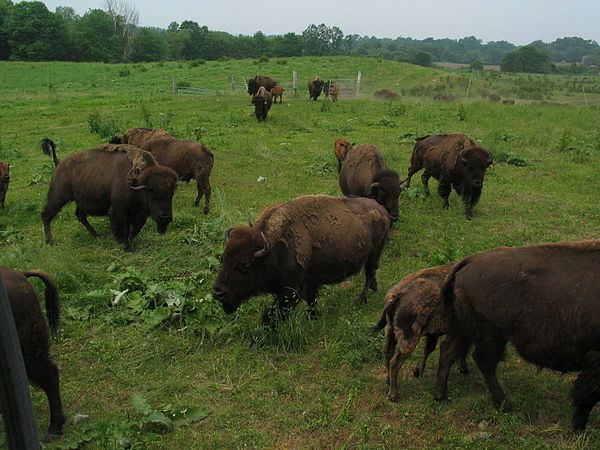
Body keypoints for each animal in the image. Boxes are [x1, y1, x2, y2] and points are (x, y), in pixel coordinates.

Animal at [41, 143, 178, 251]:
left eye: (171, 193)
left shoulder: (140, 214)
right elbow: (123, 228)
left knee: (80, 216)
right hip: (58, 197)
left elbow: (137, 227)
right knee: (46, 215)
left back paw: (97, 235)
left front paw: (129, 240)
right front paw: (126, 246)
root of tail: (59, 164)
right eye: (151, 193)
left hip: (81, 200)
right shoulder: (119, 211)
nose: (165, 217)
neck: (137, 182)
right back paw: (50, 242)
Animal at [370, 262, 468, 402]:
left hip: (391, 331)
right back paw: (394, 394)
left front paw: (417, 371)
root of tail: (397, 294)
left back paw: (388, 381)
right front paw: (463, 368)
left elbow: (429, 349)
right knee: (395, 362)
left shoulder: (434, 333)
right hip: (409, 339)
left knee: (387, 353)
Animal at [436, 239, 600, 432]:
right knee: (483, 362)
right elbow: (586, 396)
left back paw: (441, 396)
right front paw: (578, 427)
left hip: (466, 329)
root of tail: (470, 260)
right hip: (491, 335)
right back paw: (505, 404)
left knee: (448, 352)